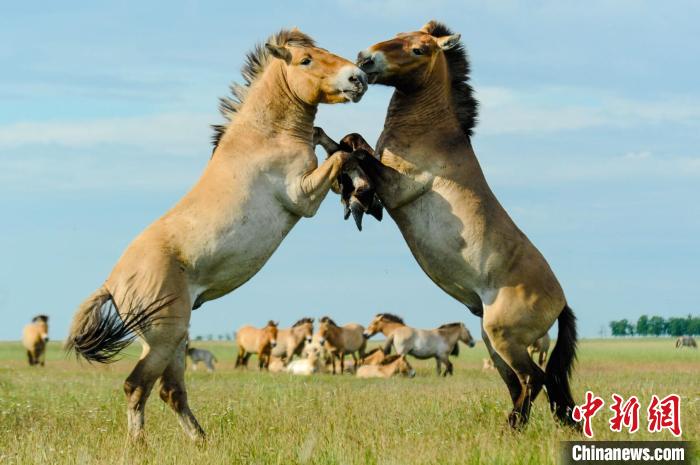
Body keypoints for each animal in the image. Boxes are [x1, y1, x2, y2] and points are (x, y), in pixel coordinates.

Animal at [65, 29, 370, 438]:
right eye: (306, 60)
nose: (358, 78)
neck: (266, 135)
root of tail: (111, 283)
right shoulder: (302, 196)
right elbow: (340, 157)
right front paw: (359, 180)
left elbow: (332, 145)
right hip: (164, 338)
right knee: (137, 386)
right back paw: (139, 445)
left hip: (173, 339)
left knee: (170, 391)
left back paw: (201, 441)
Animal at [356, 20, 580, 428]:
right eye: (398, 34)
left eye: (419, 50)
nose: (365, 59)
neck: (430, 132)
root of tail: (561, 303)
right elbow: (357, 145)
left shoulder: (397, 188)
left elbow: (354, 146)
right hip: (494, 344)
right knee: (522, 384)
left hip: (503, 337)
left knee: (533, 379)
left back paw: (512, 429)